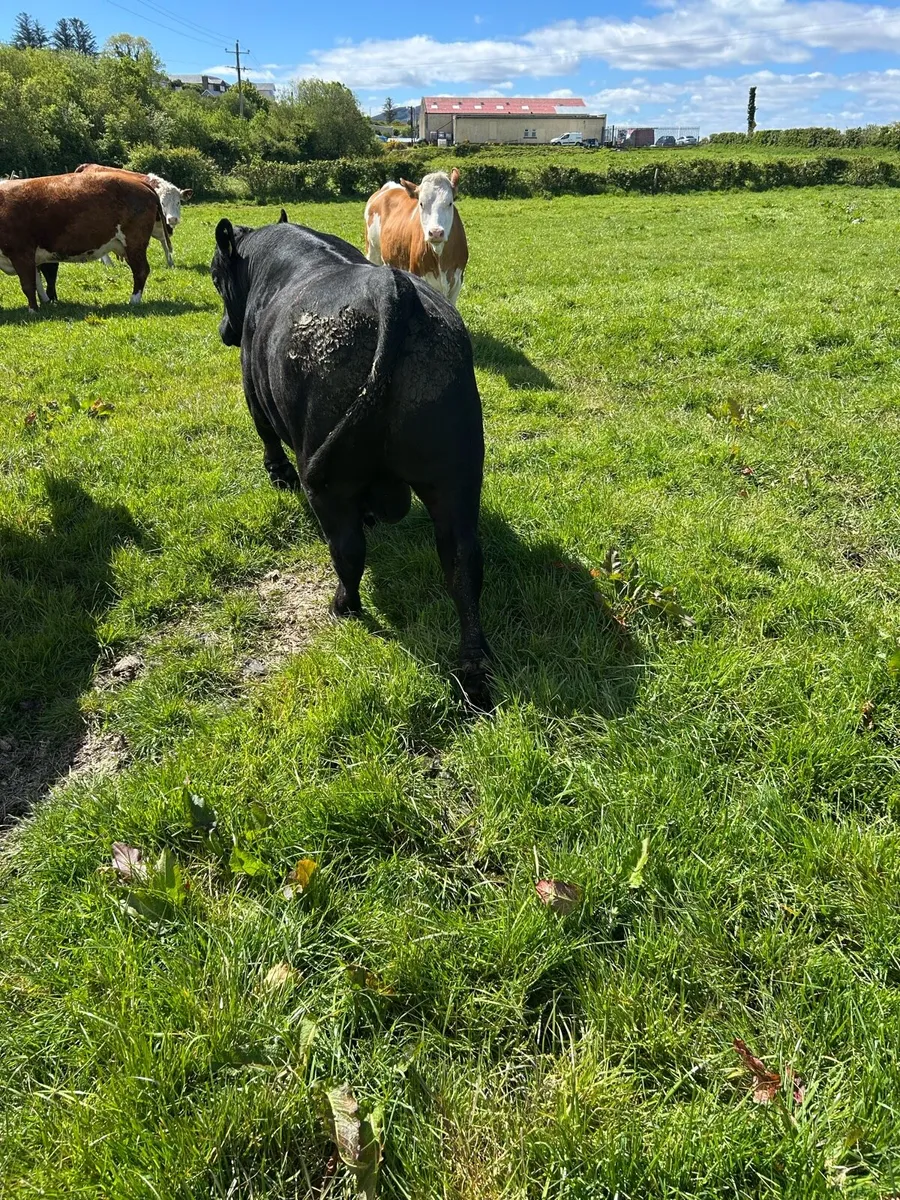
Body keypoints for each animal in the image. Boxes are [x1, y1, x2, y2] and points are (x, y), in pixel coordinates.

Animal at [0, 171, 169, 311]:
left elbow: (28, 285)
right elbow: (38, 281)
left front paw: (33, 310)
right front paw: (46, 302)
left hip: (134, 243)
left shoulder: (21, 253)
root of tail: (140, 183)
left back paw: (133, 301)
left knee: (141, 270)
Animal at [211, 213, 491, 709]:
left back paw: (344, 605)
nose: (226, 329)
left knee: (347, 548)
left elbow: (267, 438)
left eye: (213, 276)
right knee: (462, 562)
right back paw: (474, 671)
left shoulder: (252, 389)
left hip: (330, 481)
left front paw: (278, 475)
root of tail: (389, 287)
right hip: (455, 475)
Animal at [364, 169, 468, 307]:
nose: (436, 233)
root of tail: (388, 186)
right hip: (372, 251)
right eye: (421, 203)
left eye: (450, 203)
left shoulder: (457, 281)